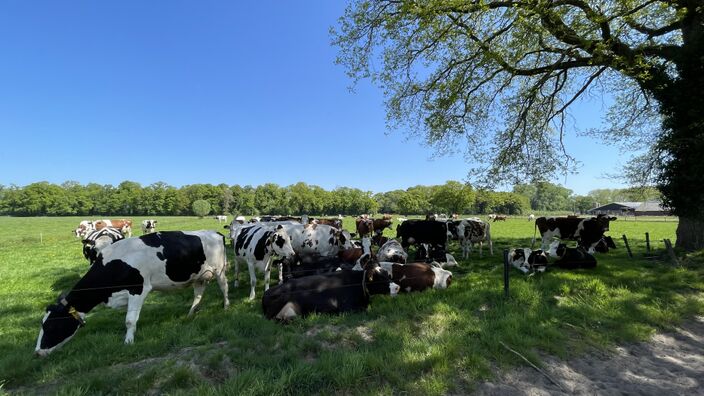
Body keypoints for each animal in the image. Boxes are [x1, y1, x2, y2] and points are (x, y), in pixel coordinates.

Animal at [35, 229, 228, 356]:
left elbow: (129, 320)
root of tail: (214, 232)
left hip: (219, 270)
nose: (37, 353)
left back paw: (226, 306)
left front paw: (128, 342)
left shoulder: (138, 289)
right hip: (199, 276)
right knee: (198, 293)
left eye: (50, 326)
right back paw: (190, 314)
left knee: (224, 286)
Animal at [262, 260, 398, 322]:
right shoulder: (347, 308)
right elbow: (367, 310)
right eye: (379, 278)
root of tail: (266, 292)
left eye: (387, 274)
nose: (397, 287)